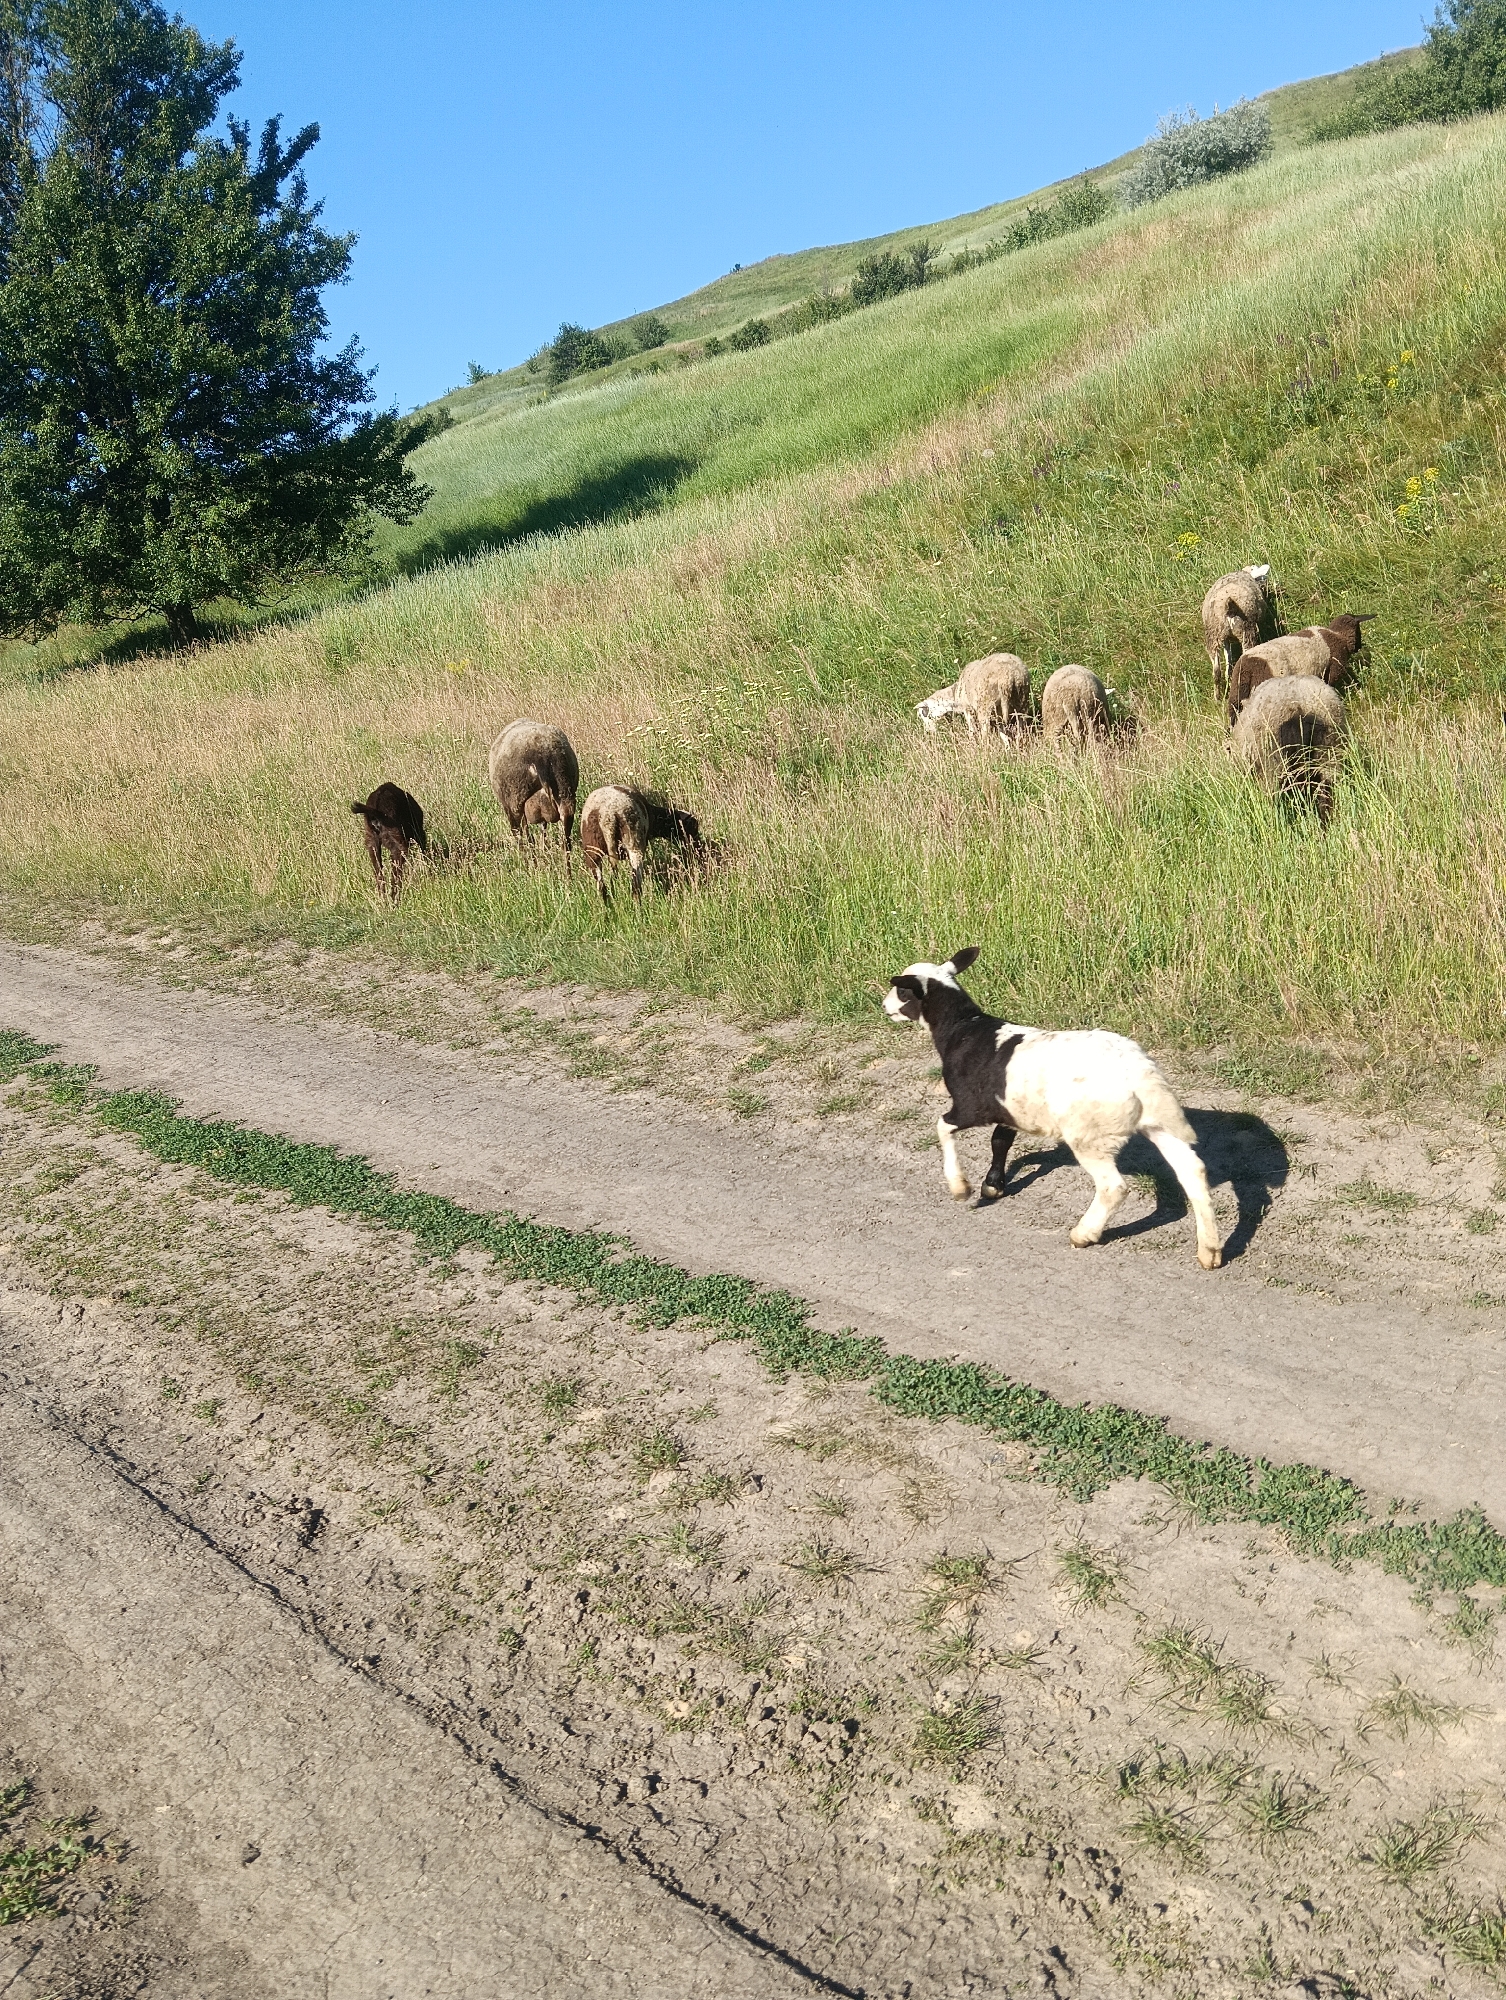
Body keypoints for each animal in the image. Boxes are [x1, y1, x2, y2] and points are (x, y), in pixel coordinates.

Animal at [884, 947, 1223, 1270]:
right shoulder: (1010, 1108)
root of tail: (1139, 1073)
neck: (961, 1029)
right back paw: (1210, 1251)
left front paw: (961, 1188)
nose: (884, 1006)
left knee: (1113, 1187)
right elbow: (1000, 1140)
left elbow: (943, 1127)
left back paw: (1084, 1234)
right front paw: (993, 1185)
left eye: (901, 991)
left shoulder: (971, 1106)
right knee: (1192, 1171)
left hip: (1089, 1133)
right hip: (1158, 1123)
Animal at [1202, 564, 1276, 695]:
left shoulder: (1225, 638)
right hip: (1247, 632)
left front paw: (1228, 676)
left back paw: (1217, 696)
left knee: (1216, 671)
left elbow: (1228, 655)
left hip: (1213, 634)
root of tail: (1229, 607)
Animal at [1225, 614, 1368, 723]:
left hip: (1235, 697)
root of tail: (1247, 668)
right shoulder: (1333, 670)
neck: (1338, 635)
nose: (1360, 647)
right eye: (1359, 631)